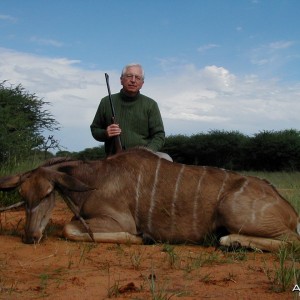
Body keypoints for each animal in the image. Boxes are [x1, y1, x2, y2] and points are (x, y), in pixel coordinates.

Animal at [0, 148, 298, 251]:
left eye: (48, 193)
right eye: (23, 195)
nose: (30, 237)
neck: (95, 178)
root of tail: (290, 212)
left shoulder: (119, 221)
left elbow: (67, 228)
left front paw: (144, 237)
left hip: (232, 210)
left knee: (292, 241)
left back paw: (230, 242)